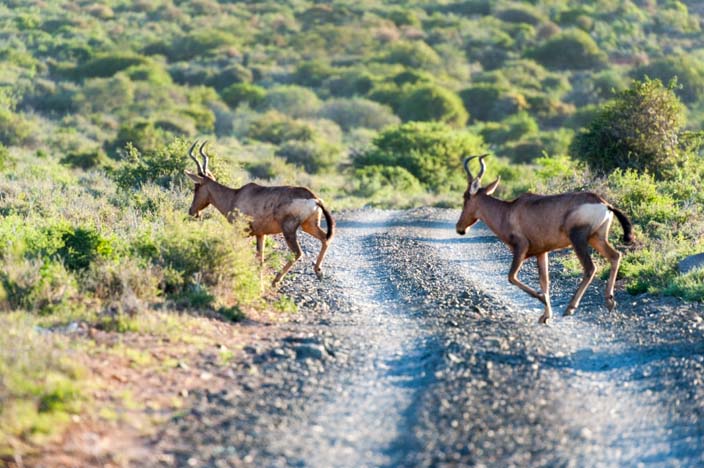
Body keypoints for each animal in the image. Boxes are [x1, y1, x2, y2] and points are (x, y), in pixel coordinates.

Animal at [183, 141, 334, 284]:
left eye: (196, 186)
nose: (192, 211)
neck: (235, 196)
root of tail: (315, 199)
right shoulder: (261, 234)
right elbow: (259, 260)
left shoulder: (239, 232)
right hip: (309, 225)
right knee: (325, 239)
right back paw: (318, 271)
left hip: (289, 229)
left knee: (297, 253)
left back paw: (276, 280)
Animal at [454, 155, 636, 324]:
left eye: (466, 196)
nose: (459, 228)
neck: (509, 210)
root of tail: (604, 204)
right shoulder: (542, 252)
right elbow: (545, 282)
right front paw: (545, 316)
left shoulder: (521, 247)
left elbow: (512, 277)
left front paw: (542, 301)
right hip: (597, 238)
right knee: (615, 256)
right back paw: (609, 301)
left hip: (578, 239)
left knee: (590, 268)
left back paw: (570, 308)